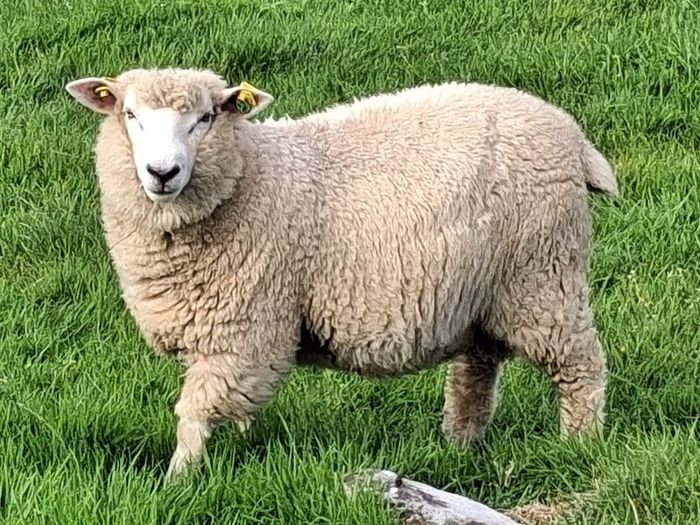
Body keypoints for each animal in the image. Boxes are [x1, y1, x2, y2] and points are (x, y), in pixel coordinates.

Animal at [65, 67, 618, 478]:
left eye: (204, 118)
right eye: (130, 115)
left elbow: (195, 417)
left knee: (580, 365)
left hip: (542, 275)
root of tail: (571, 135)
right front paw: (243, 447)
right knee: (476, 373)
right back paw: (460, 445)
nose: (162, 173)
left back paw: (580, 443)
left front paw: (178, 481)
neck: (248, 177)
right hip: (483, 290)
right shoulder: (246, 336)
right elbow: (240, 404)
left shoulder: (245, 325)